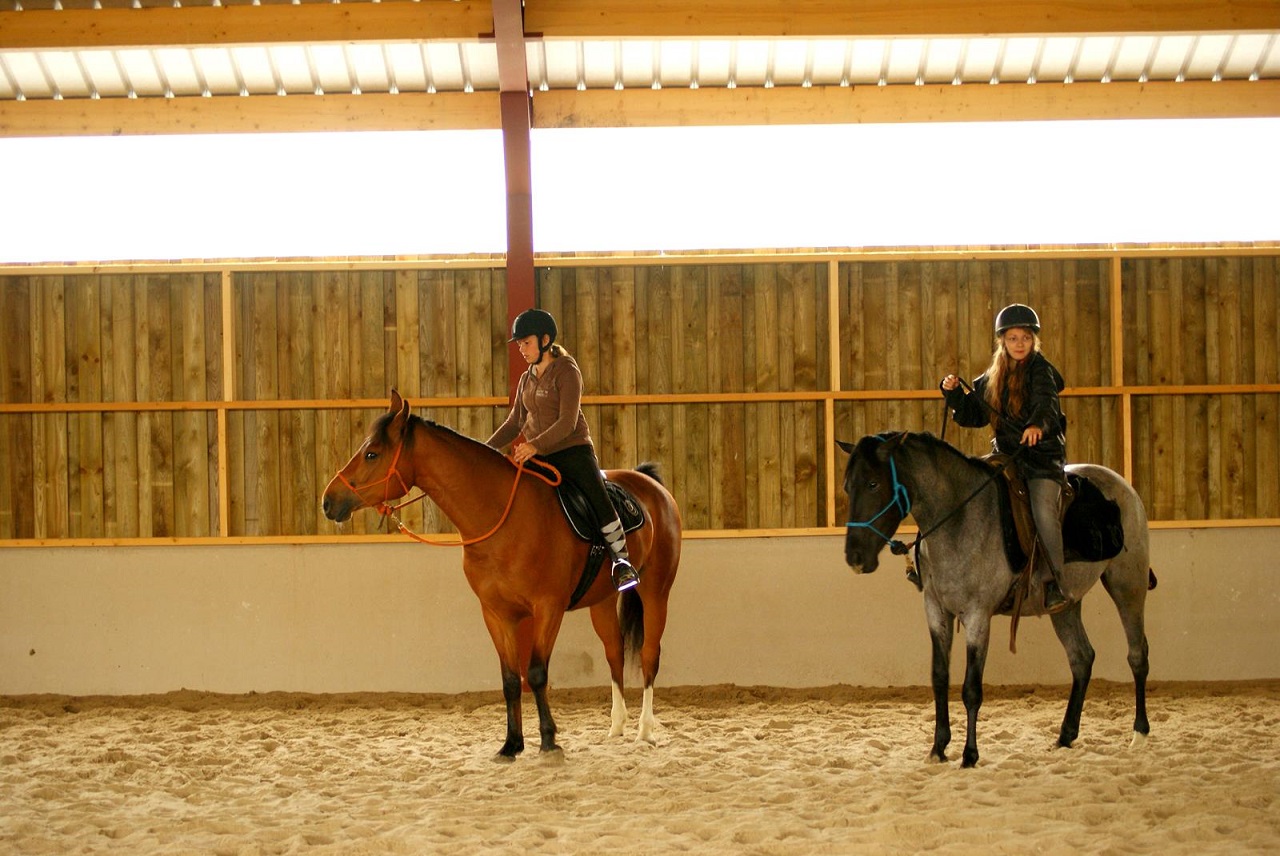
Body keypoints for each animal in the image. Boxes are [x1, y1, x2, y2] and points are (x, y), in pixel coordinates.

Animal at [322, 391, 683, 761]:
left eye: (372, 453)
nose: (328, 500)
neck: (502, 516)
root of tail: (652, 487)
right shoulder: (496, 613)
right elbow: (510, 679)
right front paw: (511, 744)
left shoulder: (547, 609)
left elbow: (535, 673)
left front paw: (549, 741)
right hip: (603, 601)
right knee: (614, 654)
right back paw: (617, 726)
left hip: (656, 592)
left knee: (649, 655)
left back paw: (644, 730)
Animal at [838, 431, 1155, 768]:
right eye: (847, 486)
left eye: (873, 483)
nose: (855, 557)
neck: (960, 518)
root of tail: (1124, 488)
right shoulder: (936, 611)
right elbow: (939, 677)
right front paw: (938, 747)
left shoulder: (977, 615)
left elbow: (971, 689)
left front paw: (969, 754)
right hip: (1066, 605)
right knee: (1081, 658)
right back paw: (1065, 735)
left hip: (1128, 585)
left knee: (1137, 655)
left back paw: (1139, 733)